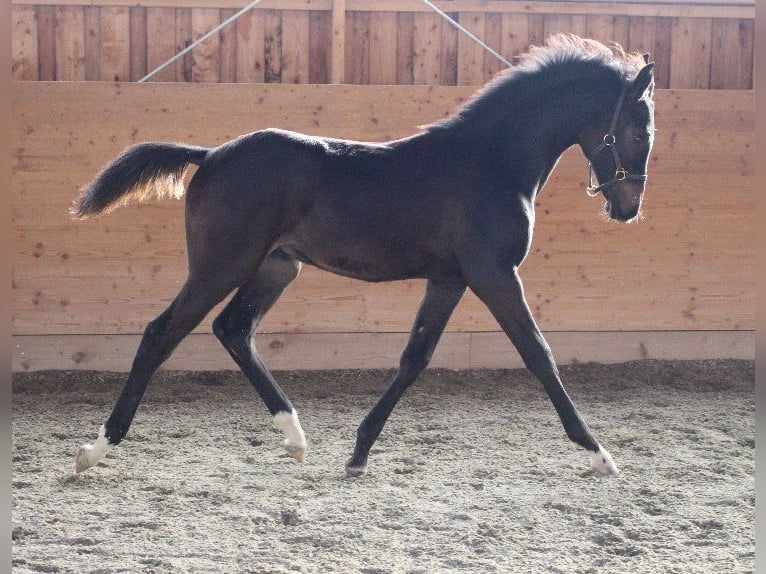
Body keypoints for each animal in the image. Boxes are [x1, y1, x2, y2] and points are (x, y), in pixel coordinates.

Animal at [73, 33, 655, 477]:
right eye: (636, 130)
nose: (628, 208)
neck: (490, 161)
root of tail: (211, 154)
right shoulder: (493, 274)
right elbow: (538, 353)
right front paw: (599, 454)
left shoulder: (450, 279)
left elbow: (415, 357)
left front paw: (358, 451)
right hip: (222, 265)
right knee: (162, 332)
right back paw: (96, 447)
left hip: (276, 267)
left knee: (233, 329)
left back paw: (295, 436)